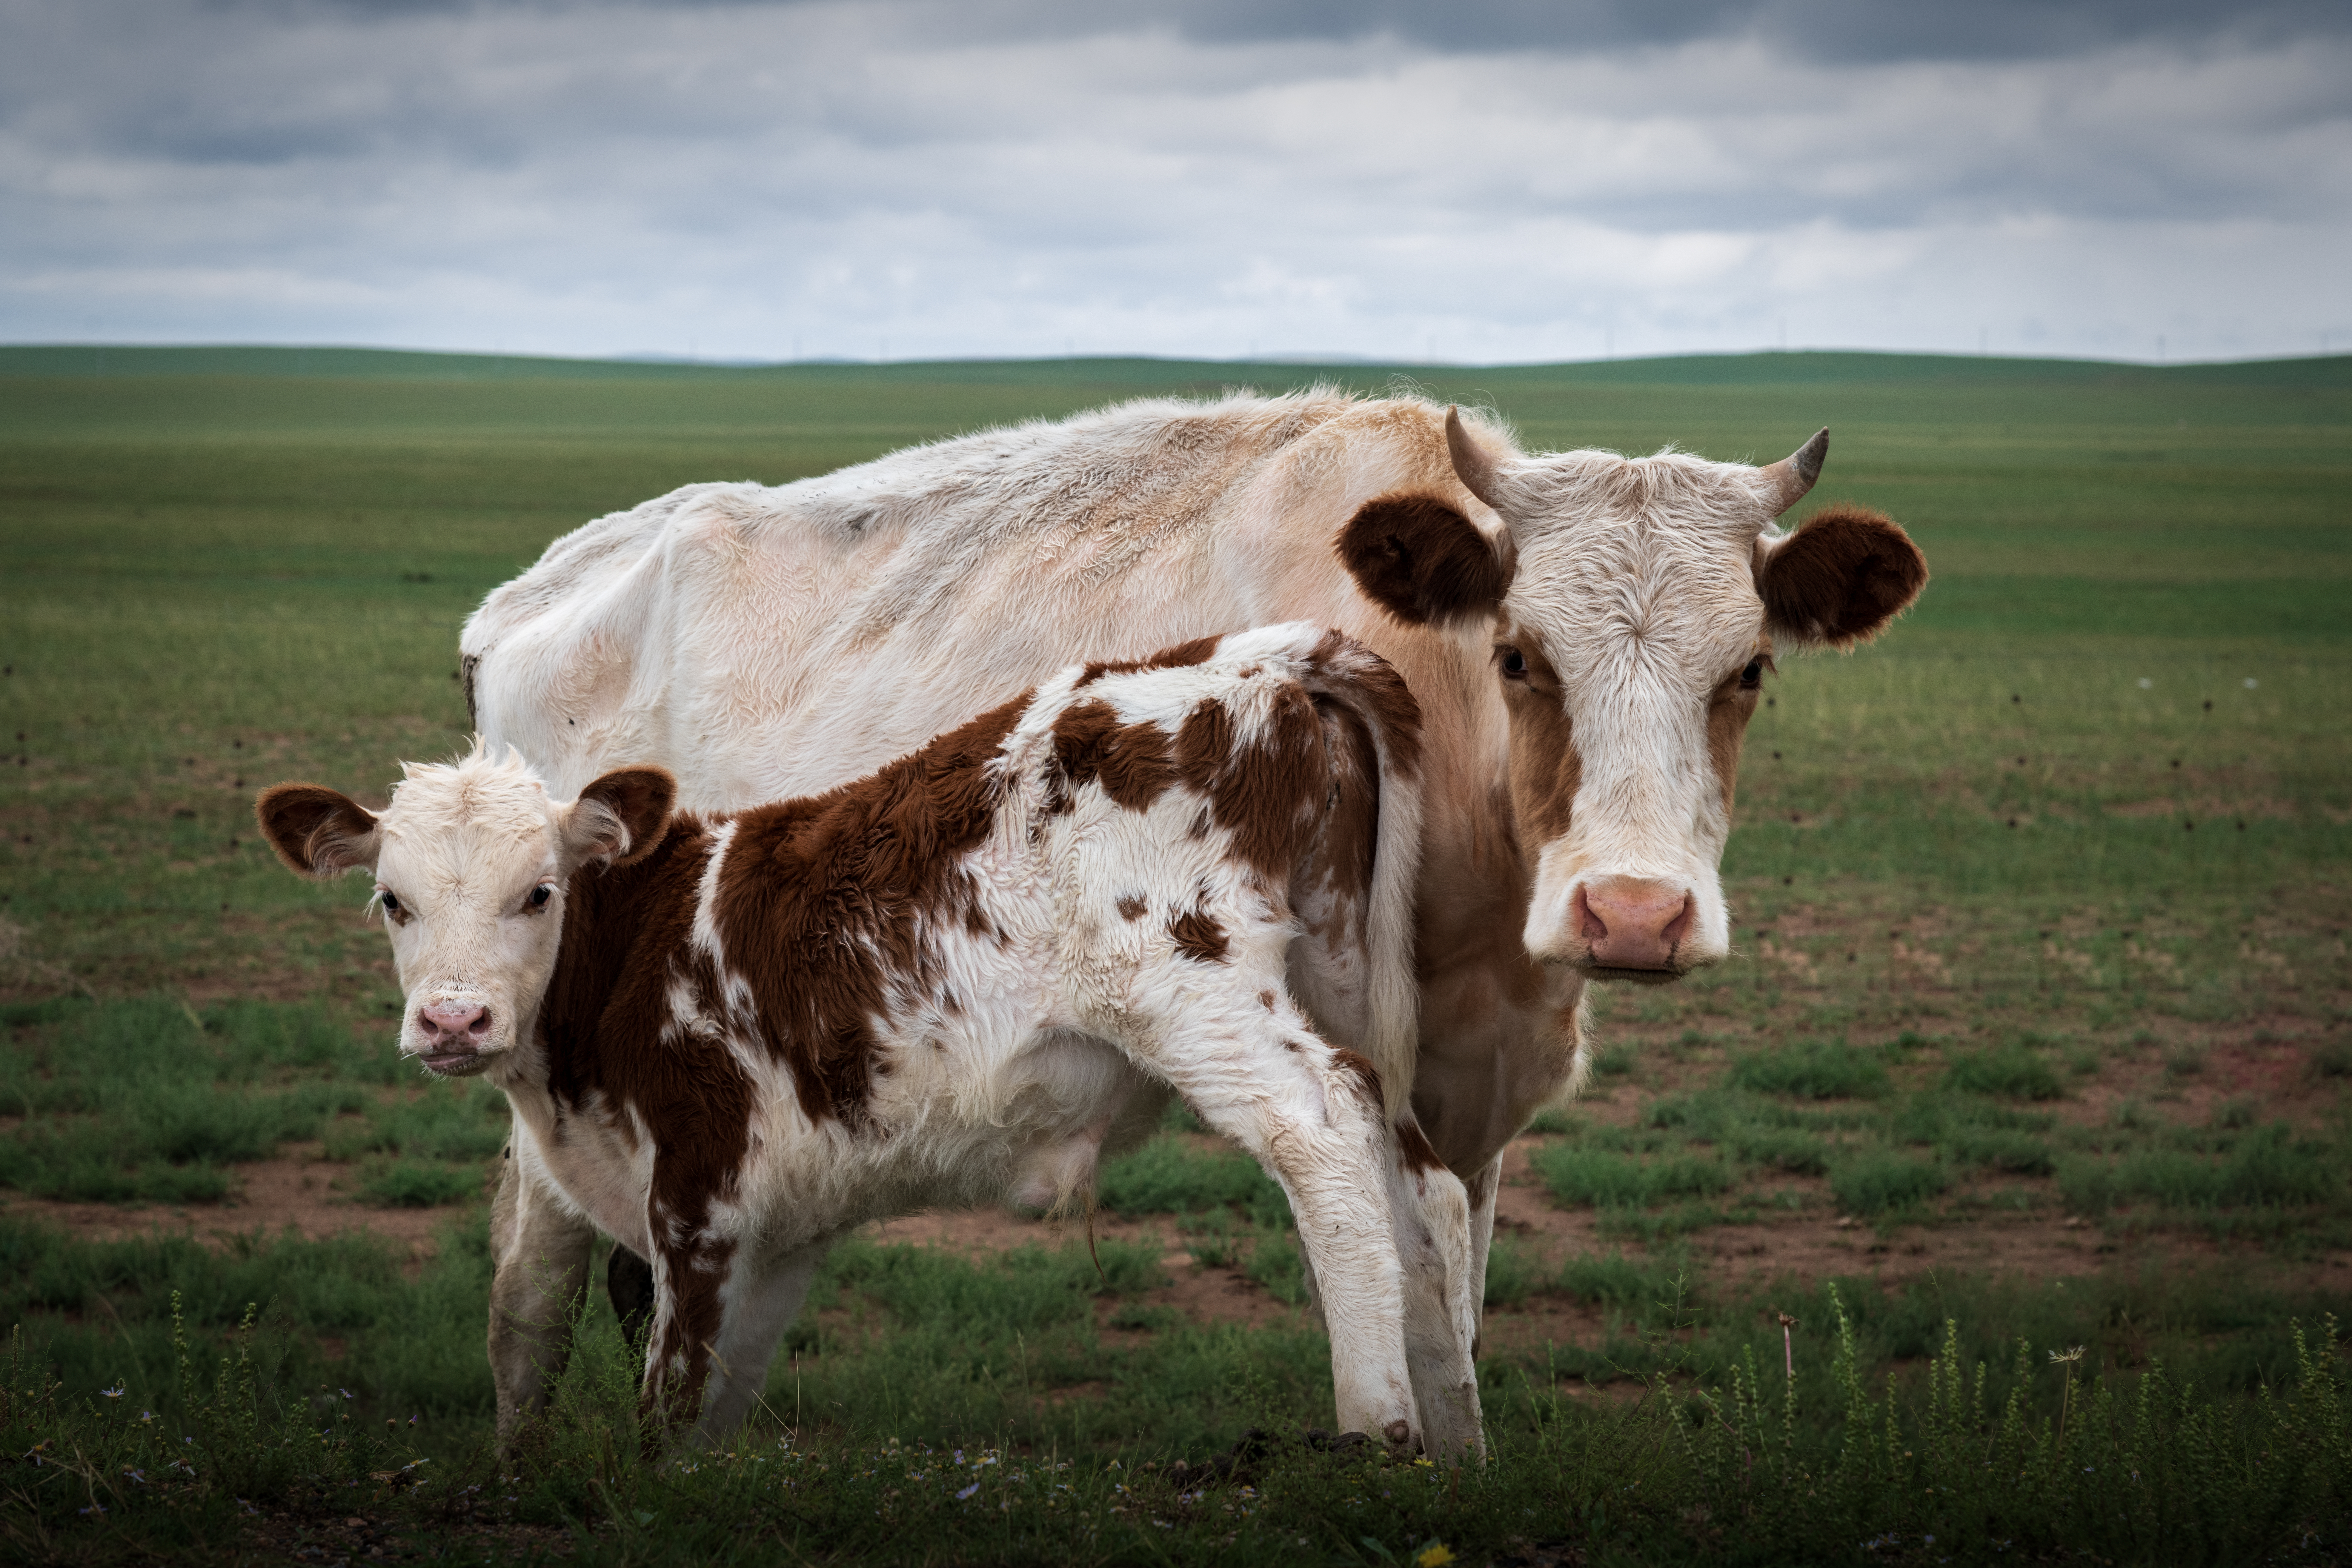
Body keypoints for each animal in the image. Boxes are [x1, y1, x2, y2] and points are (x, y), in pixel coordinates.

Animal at [258, 625, 1483, 1453]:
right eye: (392, 901)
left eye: (539, 892)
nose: (454, 1019)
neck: (639, 941)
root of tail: (1261, 654)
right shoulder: (778, 1232)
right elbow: (708, 1414)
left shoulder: (701, 1193)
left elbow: (665, 1396)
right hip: (1337, 977)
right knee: (1423, 1183)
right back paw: (1458, 1449)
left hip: (1200, 997)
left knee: (1325, 1134)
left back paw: (1379, 1426)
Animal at [461, 389, 1927, 1444]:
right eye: (1522, 655)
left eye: (1750, 669)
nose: (1633, 914)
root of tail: (534, 593)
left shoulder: (1475, 1088)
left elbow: (1451, 1274)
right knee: (533, 1262)